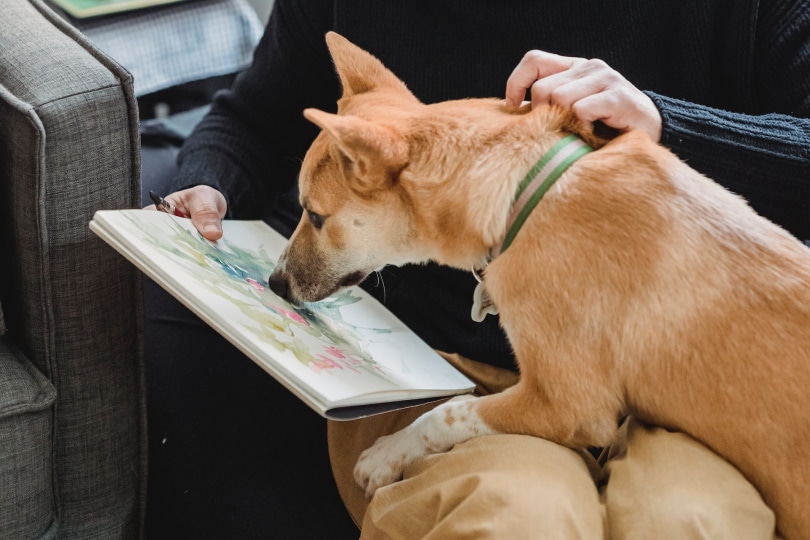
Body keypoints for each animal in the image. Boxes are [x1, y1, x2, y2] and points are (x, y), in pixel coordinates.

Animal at [270, 32, 808, 536]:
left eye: (315, 216)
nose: (273, 284)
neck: (523, 190)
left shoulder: (569, 407)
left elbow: (450, 410)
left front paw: (388, 455)